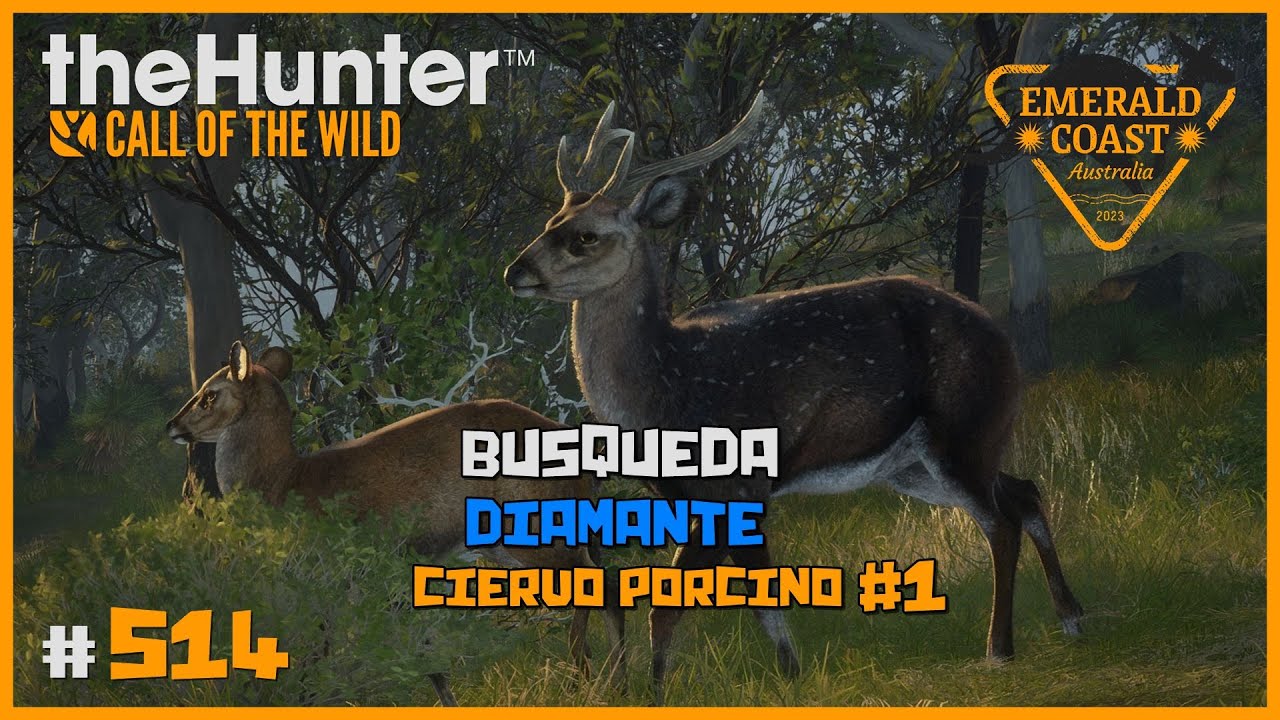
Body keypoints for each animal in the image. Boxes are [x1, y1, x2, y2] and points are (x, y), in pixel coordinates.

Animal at [166, 341, 626, 705]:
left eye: (210, 394)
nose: (172, 425)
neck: (282, 481)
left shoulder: (333, 576)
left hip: (538, 533)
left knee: (600, 587)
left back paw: (596, 682)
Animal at [503, 93, 1083, 704]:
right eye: (550, 223)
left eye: (585, 236)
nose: (515, 271)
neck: (670, 386)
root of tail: (1001, 336)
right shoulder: (693, 498)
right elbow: (700, 600)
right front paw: (717, 683)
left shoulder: (739, 485)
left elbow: (719, 599)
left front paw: (748, 680)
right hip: (924, 460)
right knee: (1024, 491)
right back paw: (1071, 618)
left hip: (960, 428)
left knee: (1000, 522)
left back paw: (999, 649)